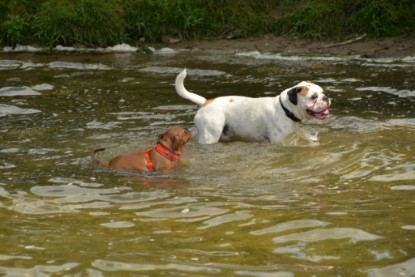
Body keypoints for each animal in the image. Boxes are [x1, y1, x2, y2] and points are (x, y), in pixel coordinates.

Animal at [176, 68, 332, 144]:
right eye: (314, 97)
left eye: (322, 92)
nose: (326, 97)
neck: (285, 109)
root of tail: (206, 101)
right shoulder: (278, 141)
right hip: (210, 135)